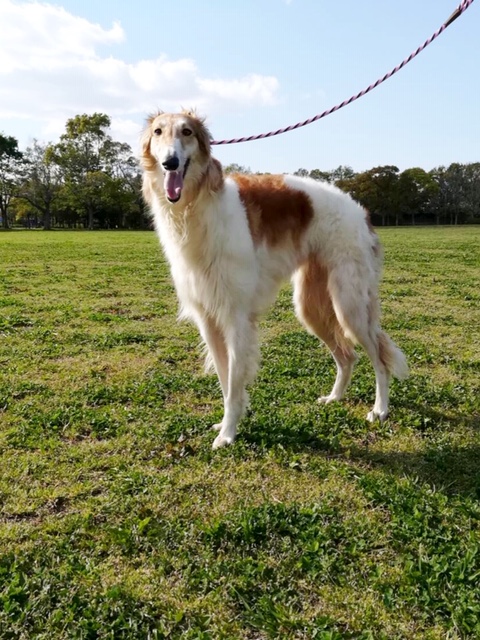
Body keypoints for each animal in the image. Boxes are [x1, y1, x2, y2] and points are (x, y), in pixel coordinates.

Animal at [140, 110, 408, 450]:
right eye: (158, 132)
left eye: (186, 131)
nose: (170, 163)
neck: (195, 209)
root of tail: (361, 213)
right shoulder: (208, 318)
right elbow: (226, 382)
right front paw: (226, 426)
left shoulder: (236, 317)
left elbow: (234, 383)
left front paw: (228, 435)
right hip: (310, 306)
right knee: (348, 356)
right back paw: (334, 398)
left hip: (350, 305)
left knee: (379, 358)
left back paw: (380, 410)